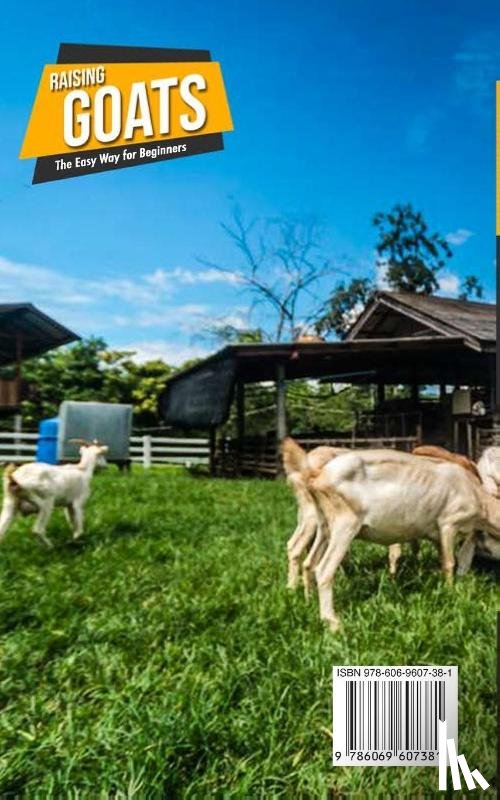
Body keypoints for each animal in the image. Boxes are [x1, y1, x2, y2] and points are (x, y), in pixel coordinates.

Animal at [282, 438, 500, 632]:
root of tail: (317, 475)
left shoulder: (439, 534)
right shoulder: (448, 523)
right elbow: (450, 563)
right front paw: (450, 592)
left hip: (323, 524)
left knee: (308, 562)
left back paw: (307, 602)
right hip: (344, 525)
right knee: (323, 569)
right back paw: (332, 622)